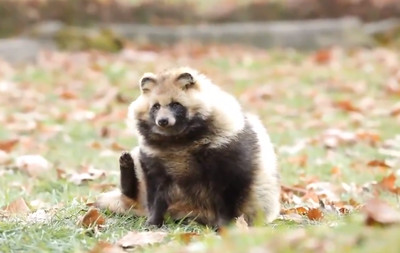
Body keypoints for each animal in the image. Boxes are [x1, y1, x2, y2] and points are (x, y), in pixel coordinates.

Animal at [95, 67, 280, 227]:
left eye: (176, 104)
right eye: (155, 106)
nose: (163, 121)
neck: (177, 138)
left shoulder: (227, 147)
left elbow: (229, 190)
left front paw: (226, 224)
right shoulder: (154, 156)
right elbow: (155, 191)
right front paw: (153, 221)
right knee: (135, 188)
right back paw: (127, 168)